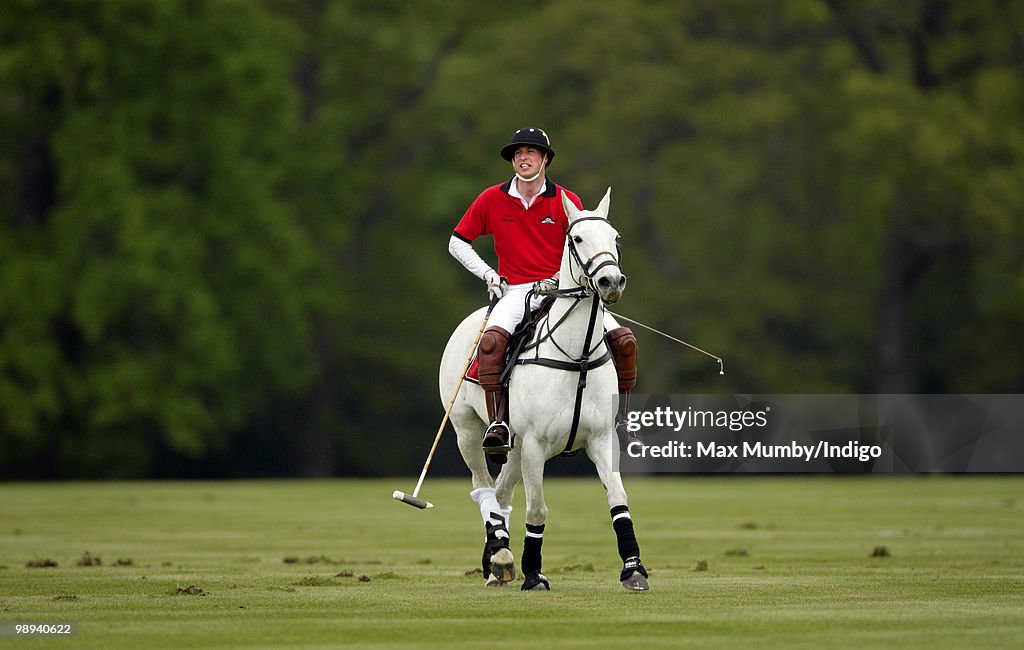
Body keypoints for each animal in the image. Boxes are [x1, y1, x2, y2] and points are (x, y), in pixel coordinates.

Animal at [438, 187, 647, 589]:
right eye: (576, 238)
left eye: (614, 237)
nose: (611, 282)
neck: (577, 355)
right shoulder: (535, 443)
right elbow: (537, 508)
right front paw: (534, 573)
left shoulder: (601, 439)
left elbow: (618, 498)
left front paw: (633, 569)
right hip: (467, 428)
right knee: (483, 485)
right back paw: (500, 555)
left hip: (515, 445)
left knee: (501, 492)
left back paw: (497, 558)